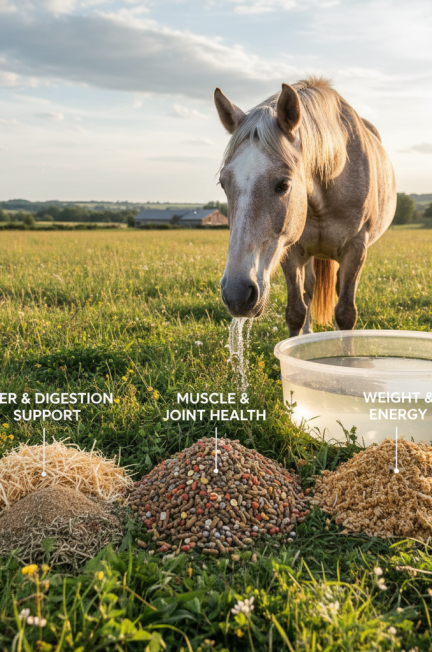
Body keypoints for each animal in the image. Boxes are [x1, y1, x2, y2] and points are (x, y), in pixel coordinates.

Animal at [214, 77, 396, 337]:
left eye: (283, 184)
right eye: (223, 183)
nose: (236, 294)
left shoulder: (356, 249)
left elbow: (346, 313)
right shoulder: (289, 250)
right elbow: (295, 312)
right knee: (310, 286)